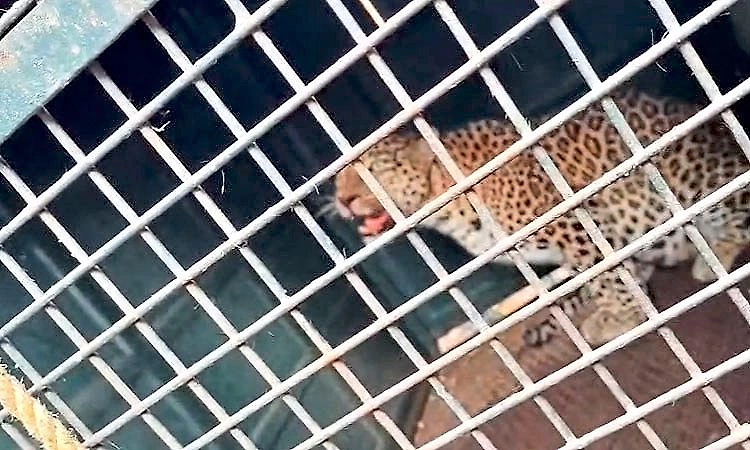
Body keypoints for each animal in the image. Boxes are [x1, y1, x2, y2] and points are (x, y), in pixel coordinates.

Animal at [332, 88, 750, 347]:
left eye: (376, 171)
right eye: (339, 178)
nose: (342, 199)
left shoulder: (578, 220)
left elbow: (608, 274)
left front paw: (623, 316)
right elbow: (614, 273)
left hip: (696, 175)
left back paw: (714, 254)